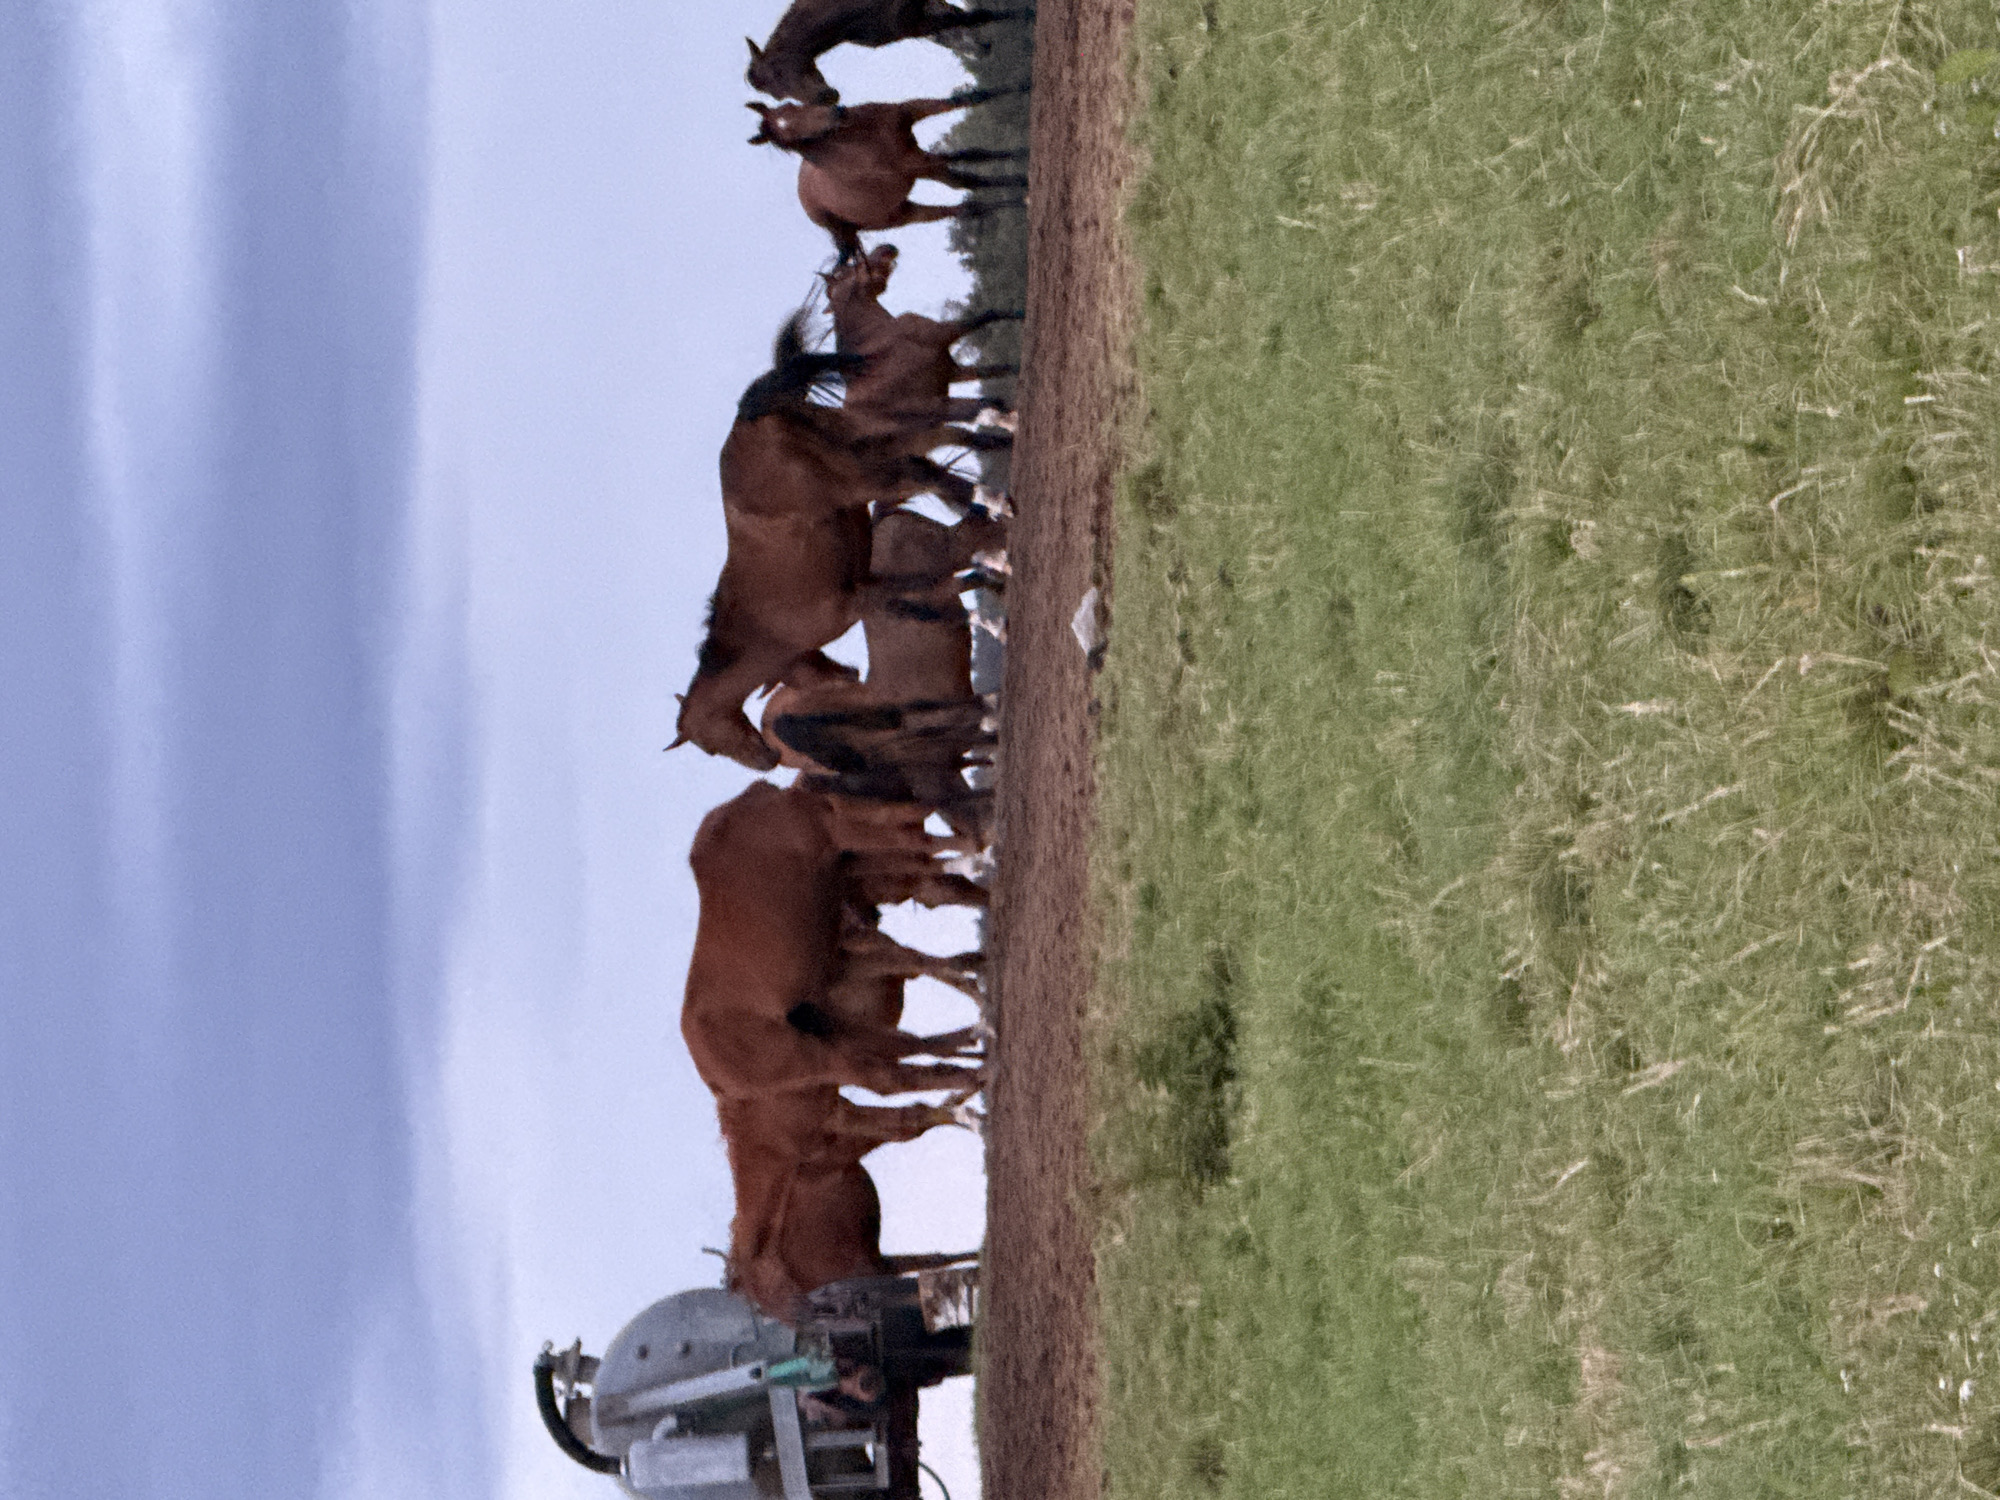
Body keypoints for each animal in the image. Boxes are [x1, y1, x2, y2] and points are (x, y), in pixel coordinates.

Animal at [673, 315, 1007, 769]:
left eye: (708, 746)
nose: (767, 760)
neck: (757, 630)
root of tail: (750, 414)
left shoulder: (859, 600)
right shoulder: (873, 588)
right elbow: (929, 598)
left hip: (867, 474)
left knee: (928, 471)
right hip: (872, 446)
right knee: (942, 451)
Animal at [681, 781, 984, 1102]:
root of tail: (718, 1082)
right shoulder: (846, 831)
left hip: (837, 1032)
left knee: (906, 1050)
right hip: (813, 1057)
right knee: (889, 1077)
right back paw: (975, 1074)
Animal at [747, 0, 1034, 106]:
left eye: (778, 70)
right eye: (777, 95)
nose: (825, 98)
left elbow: (976, 16)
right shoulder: (913, 24)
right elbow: (963, 22)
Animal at [748, 94, 1028, 260]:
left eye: (790, 107)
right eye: (799, 140)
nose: (838, 112)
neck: (860, 142)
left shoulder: (911, 117)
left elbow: (969, 106)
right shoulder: (918, 164)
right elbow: (972, 168)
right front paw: (1024, 181)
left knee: (965, 193)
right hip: (902, 214)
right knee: (962, 207)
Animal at [826, 244, 1021, 439]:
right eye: (855, 265)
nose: (887, 248)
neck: (876, 334)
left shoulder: (952, 371)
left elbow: (998, 369)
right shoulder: (943, 333)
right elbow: (986, 316)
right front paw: (1020, 313)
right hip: (940, 408)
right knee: (987, 409)